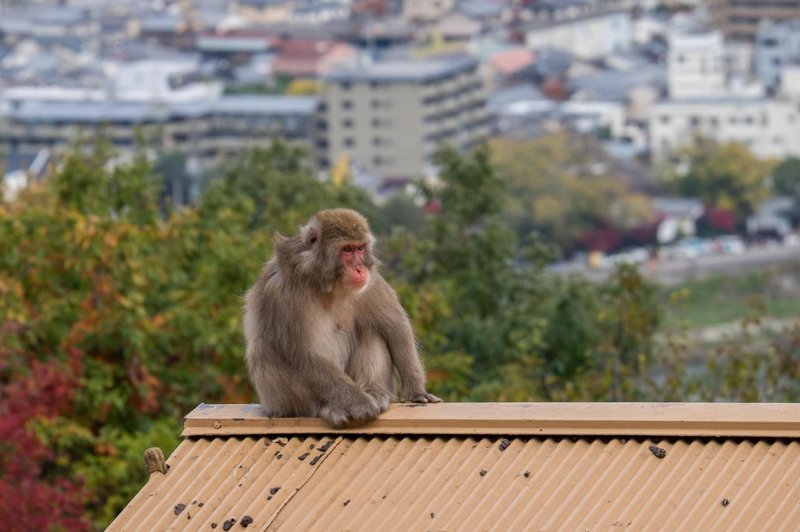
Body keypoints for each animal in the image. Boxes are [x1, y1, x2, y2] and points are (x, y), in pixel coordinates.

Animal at [245, 208, 444, 428]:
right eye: (347, 250)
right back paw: (330, 408)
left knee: (369, 329)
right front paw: (359, 404)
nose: (359, 269)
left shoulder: (370, 282)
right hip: (281, 402)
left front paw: (417, 393)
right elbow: (298, 354)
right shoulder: (283, 292)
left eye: (360, 249)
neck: (325, 284)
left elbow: (395, 325)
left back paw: (373, 390)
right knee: (264, 349)